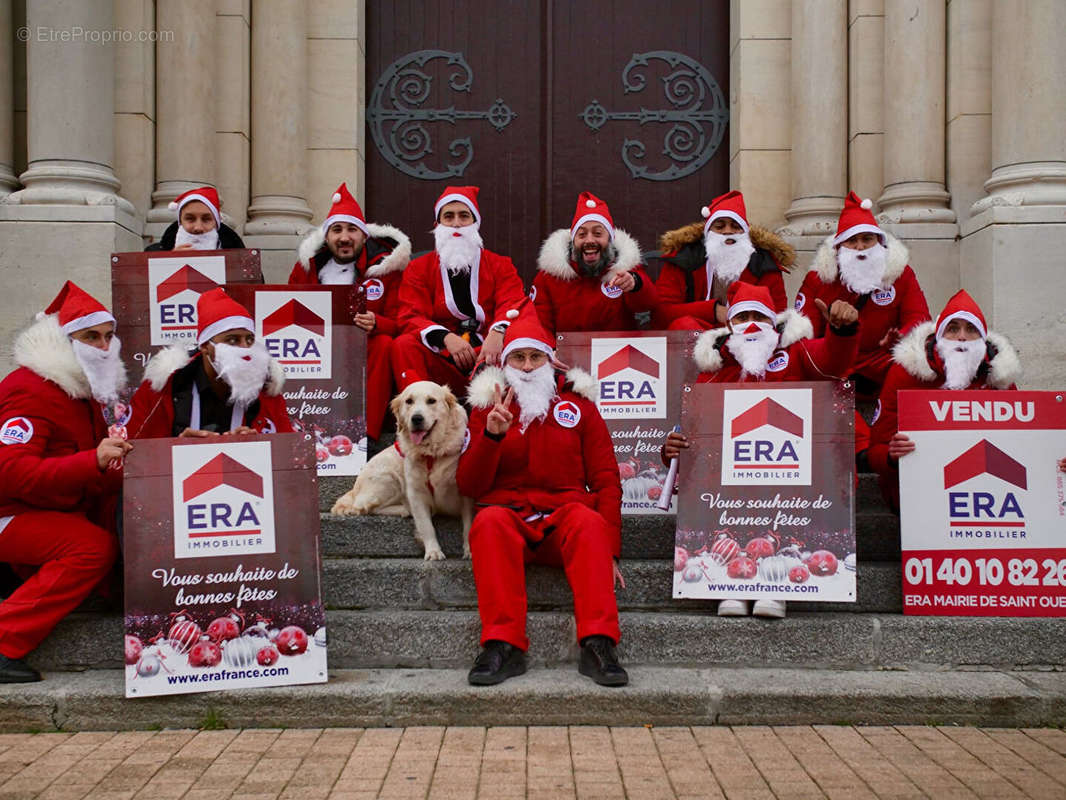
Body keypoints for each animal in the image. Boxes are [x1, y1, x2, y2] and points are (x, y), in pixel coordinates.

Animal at [328, 384, 471, 558]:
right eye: (409, 401)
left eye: (431, 401)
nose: (417, 418)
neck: (432, 453)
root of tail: (355, 488)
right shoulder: (416, 492)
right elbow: (426, 526)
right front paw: (433, 551)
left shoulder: (466, 492)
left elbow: (468, 525)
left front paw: (469, 550)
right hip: (390, 478)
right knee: (365, 507)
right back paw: (404, 510)